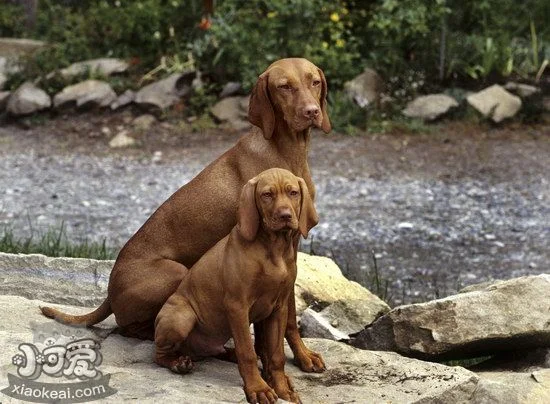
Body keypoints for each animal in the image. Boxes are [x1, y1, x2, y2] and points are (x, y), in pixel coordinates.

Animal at [41, 56, 332, 372]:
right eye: (284, 87)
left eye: (314, 82)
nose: (312, 112)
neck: (288, 151)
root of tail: (109, 290)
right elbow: (282, 316)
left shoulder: (291, 246)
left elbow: (286, 316)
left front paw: (299, 356)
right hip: (176, 273)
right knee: (128, 327)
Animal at [157, 168, 316, 404]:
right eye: (267, 195)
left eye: (293, 193)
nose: (285, 215)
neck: (273, 249)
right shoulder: (237, 306)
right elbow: (247, 352)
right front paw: (258, 389)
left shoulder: (278, 308)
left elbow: (276, 354)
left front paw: (282, 390)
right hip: (181, 317)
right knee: (158, 353)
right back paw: (178, 363)